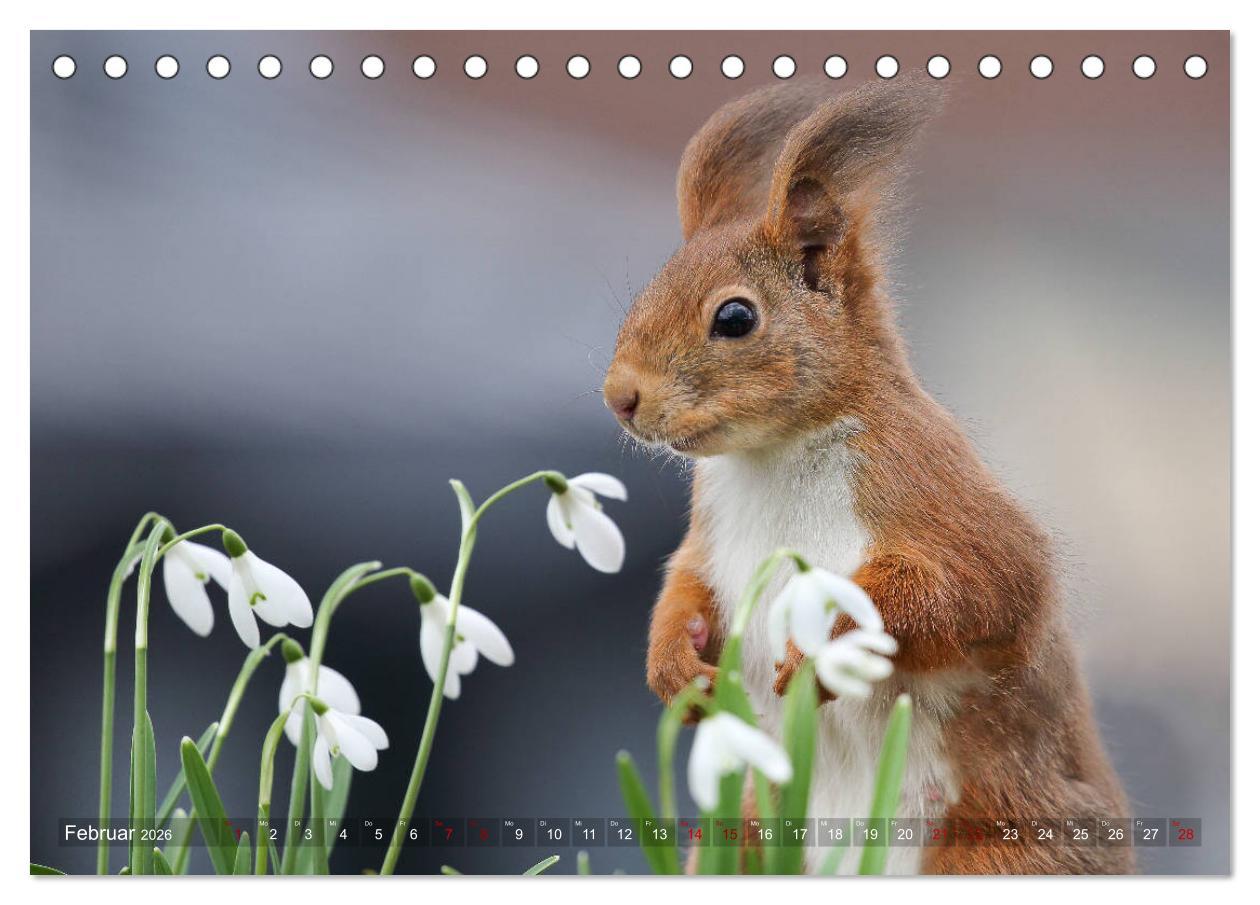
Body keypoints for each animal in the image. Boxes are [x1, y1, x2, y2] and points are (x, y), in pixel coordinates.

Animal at [602, 79, 1132, 875]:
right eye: (646, 291)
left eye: (735, 317)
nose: (619, 396)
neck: (776, 457)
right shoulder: (711, 535)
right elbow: (684, 587)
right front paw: (674, 669)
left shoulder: (931, 491)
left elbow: (974, 590)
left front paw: (823, 647)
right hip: (746, 838)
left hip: (999, 848)